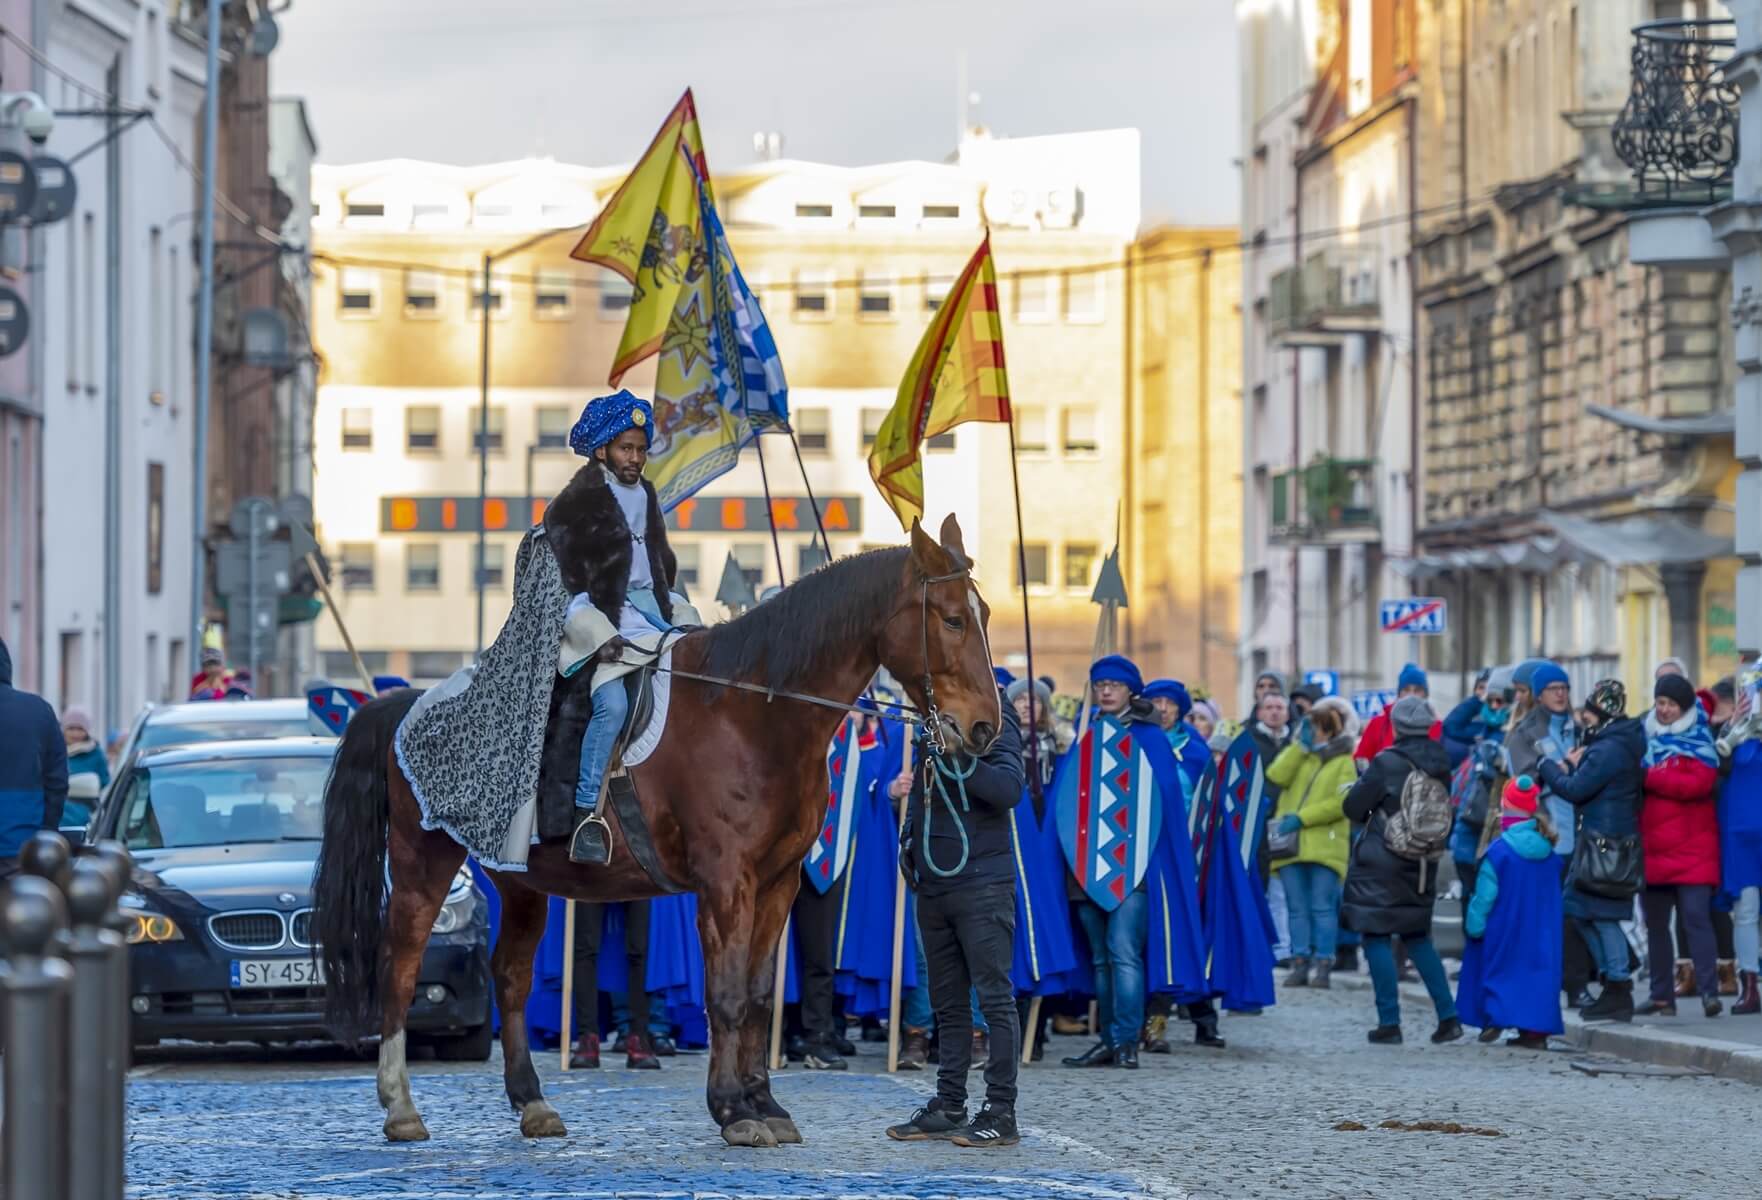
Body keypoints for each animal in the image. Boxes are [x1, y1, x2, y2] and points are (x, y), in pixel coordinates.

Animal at [310, 511, 1000, 1141]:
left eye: (985, 615)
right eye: (952, 619)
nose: (984, 728)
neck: (754, 712)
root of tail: (408, 701)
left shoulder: (778, 882)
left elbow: (757, 995)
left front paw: (766, 1104)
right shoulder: (725, 881)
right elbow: (725, 994)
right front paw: (732, 1111)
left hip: (519, 880)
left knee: (509, 976)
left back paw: (533, 1102)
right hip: (423, 864)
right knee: (400, 966)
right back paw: (401, 1107)